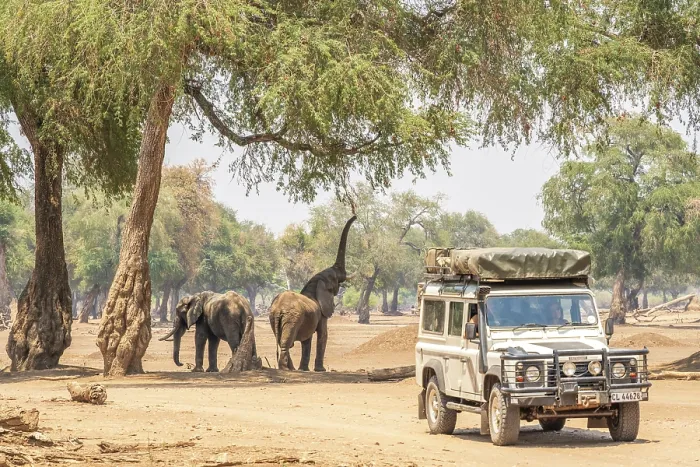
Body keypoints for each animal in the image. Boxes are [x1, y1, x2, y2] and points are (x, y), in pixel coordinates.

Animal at [269, 215, 356, 371]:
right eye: (334, 279)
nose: (355, 215)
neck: (314, 283)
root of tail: (279, 308)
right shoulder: (322, 314)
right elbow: (323, 335)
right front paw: (320, 370)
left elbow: (307, 340)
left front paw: (304, 369)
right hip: (292, 317)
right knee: (286, 343)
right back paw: (287, 369)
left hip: (274, 317)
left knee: (281, 341)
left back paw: (291, 369)